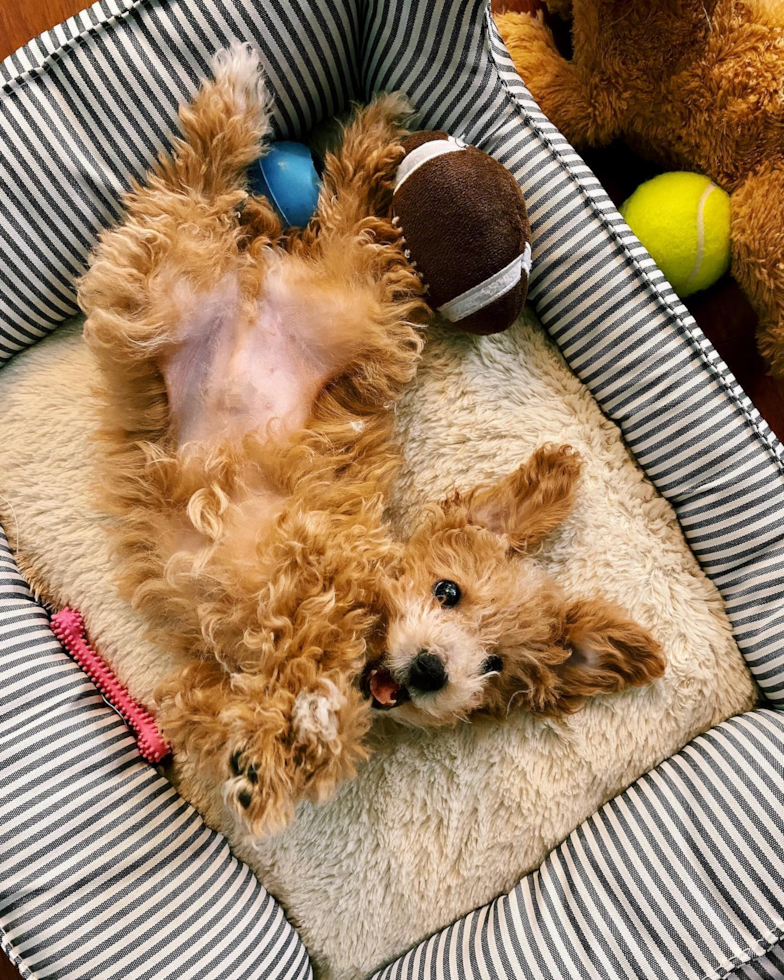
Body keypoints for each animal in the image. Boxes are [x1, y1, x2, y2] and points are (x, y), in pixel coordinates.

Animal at [77, 42, 426, 832]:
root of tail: (253, 283)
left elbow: (219, 709)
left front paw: (259, 753)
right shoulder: (320, 589)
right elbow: (312, 693)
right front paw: (301, 735)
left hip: (193, 296)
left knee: (201, 193)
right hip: (316, 296)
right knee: (213, 184)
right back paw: (277, 103)